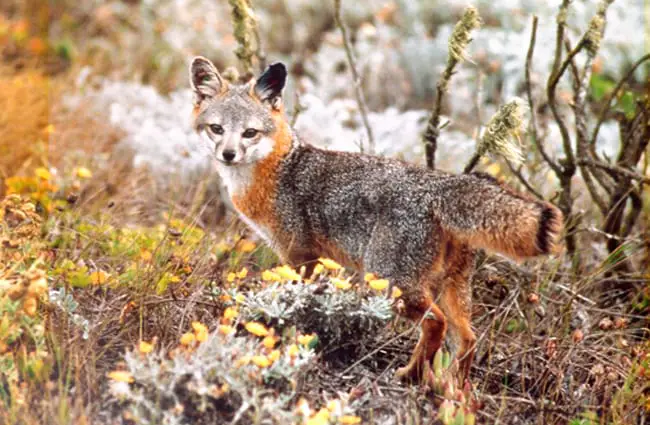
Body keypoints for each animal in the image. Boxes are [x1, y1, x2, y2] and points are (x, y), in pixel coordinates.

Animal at [189, 55, 560, 380]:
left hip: (391, 283)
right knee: (467, 338)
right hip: (450, 288)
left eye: (249, 133)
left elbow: (297, 299)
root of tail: (440, 184)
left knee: (435, 323)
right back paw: (453, 391)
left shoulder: (300, 256)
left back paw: (412, 375)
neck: (278, 170)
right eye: (216, 129)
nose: (228, 154)